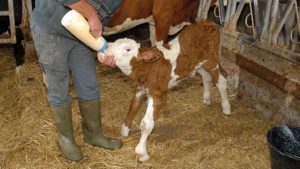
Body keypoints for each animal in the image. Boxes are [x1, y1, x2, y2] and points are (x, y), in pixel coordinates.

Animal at [102, 20, 231, 162]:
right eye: (115, 42)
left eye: (127, 49)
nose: (105, 48)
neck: (147, 67)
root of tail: (208, 23)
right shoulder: (141, 89)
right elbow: (132, 107)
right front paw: (124, 131)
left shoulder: (158, 94)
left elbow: (146, 124)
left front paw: (142, 153)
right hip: (197, 63)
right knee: (205, 76)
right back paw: (207, 99)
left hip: (211, 59)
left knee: (222, 78)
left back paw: (226, 107)